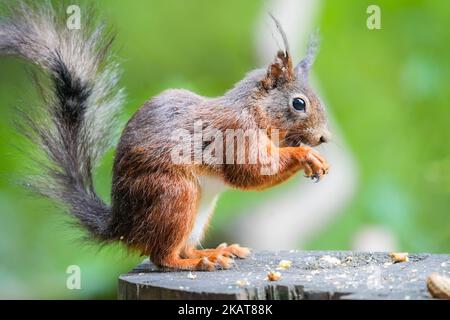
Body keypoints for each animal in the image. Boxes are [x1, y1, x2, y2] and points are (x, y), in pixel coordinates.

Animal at [0, 4, 330, 270]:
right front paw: (306, 156)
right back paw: (199, 261)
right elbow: (251, 170)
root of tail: (122, 226)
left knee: (181, 248)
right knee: (163, 257)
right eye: (298, 103)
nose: (324, 138)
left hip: (197, 212)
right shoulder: (234, 132)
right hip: (174, 194)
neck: (254, 109)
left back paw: (214, 251)